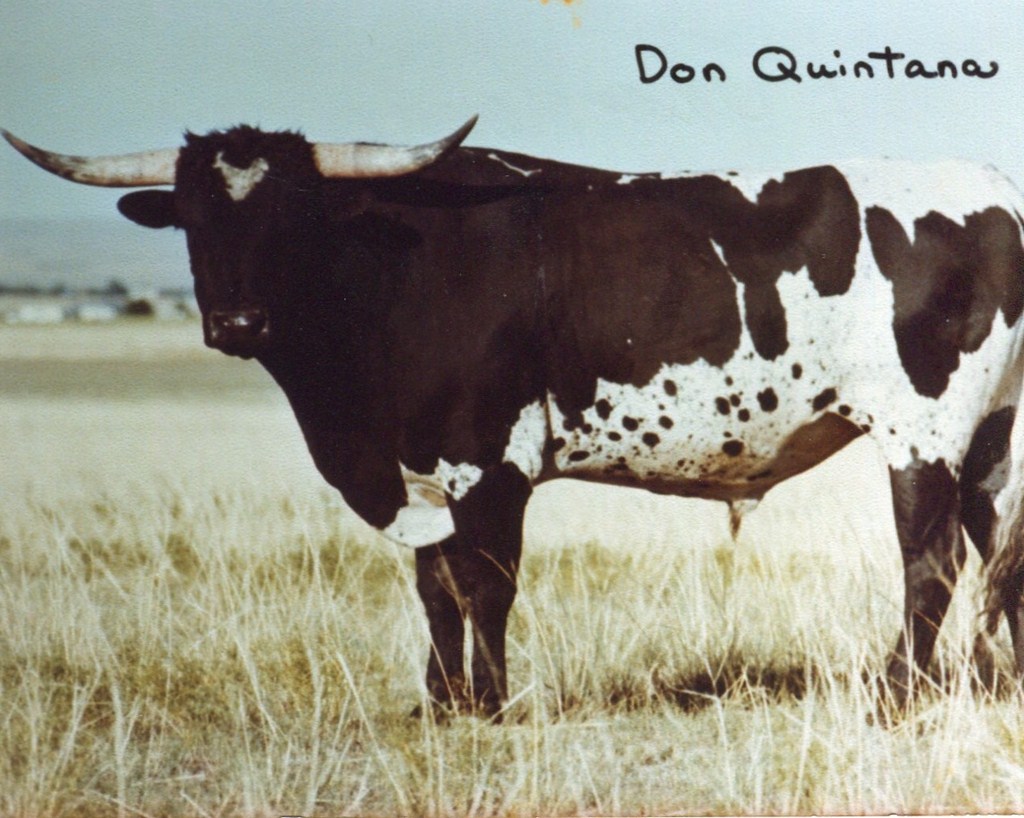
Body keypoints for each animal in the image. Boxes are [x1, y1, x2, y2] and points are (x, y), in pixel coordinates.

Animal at [6, 119, 1024, 718]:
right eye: (193, 216)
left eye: (296, 212)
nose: (238, 323)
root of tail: (991, 186)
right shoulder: (417, 468)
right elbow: (435, 586)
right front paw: (440, 702)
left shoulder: (489, 460)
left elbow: (485, 583)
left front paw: (488, 705)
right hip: (992, 440)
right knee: (998, 555)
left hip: (924, 435)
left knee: (930, 562)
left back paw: (896, 696)